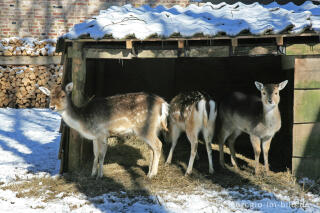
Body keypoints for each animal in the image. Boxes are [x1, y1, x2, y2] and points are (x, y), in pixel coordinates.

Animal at [39, 82, 170, 179]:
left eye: (63, 95)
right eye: (50, 96)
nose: (52, 107)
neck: (83, 121)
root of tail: (163, 103)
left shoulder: (102, 133)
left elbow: (102, 155)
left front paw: (100, 175)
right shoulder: (95, 136)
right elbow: (95, 154)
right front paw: (92, 174)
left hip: (145, 128)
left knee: (158, 145)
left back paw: (153, 174)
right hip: (154, 129)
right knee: (151, 149)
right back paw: (148, 173)